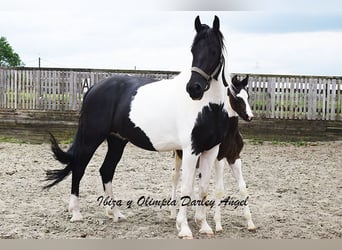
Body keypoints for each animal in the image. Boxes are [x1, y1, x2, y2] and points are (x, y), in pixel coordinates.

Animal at [44, 15, 238, 238]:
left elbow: (203, 188)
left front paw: (204, 226)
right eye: (193, 50)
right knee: (79, 167)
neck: (207, 107)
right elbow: (187, 188)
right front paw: (184, 229)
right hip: (91, 138)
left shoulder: (211, 150)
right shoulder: (191, 150)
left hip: (117, 140)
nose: (194, 88)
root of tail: (93, 88)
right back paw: (76, 213)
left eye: (214, 50)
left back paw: (116, 214)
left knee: (106, 170)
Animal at [170, 75, 255, 233]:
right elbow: (219, 190)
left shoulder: (235, 157)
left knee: (191, 183)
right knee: (175, 178)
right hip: (180, 155)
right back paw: (174, 215)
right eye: (237, 98)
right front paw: (218, 224)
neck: (230, 132)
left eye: (248, 96)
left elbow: (243, 188)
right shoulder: (219, 158)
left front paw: (250, 223)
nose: (250, 116)